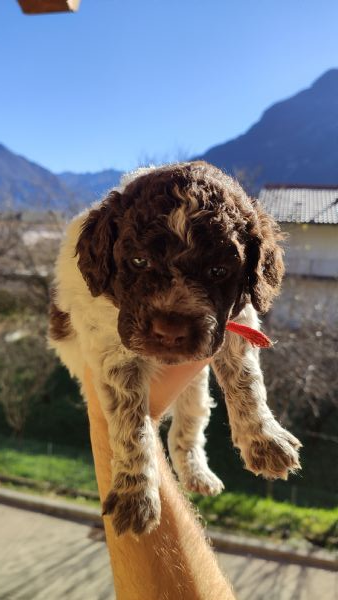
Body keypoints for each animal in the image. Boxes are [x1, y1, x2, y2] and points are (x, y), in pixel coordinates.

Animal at [48, 159, 302, 536]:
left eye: (218, 270)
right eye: (138, 262)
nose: (170, 331)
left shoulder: (235, 323)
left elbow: (246, 381)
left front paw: (265, 440)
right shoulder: (112, 351)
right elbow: (131, 425)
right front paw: (135, 494)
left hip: (195, 391)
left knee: (188, 428)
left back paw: (197, 473)